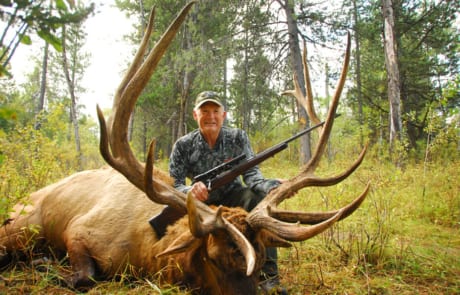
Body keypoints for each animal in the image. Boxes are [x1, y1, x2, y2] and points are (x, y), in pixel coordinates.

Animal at [0, 1, 368, 294]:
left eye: (262, 254)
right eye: (214, 257)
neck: (147, 248)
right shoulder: (78, 232)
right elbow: (84, 275)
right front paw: (48, 265)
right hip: (21, 226)